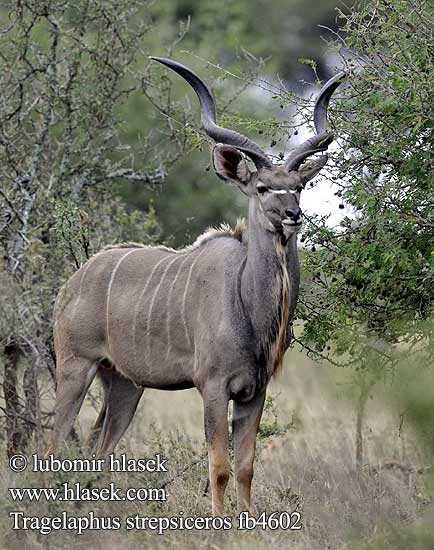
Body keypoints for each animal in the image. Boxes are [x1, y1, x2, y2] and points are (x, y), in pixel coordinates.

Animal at [49, 60, 344, 516]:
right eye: (262, 187)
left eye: (298, 186)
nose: (292, 215)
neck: (246, 301)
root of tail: (73, 282)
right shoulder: (213, 387)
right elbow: (220, 465)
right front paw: (220, 522)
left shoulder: (254, 392)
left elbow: (246, 467)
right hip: (75, 367)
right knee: (50, 443)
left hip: (124, 384)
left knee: (98, 446)